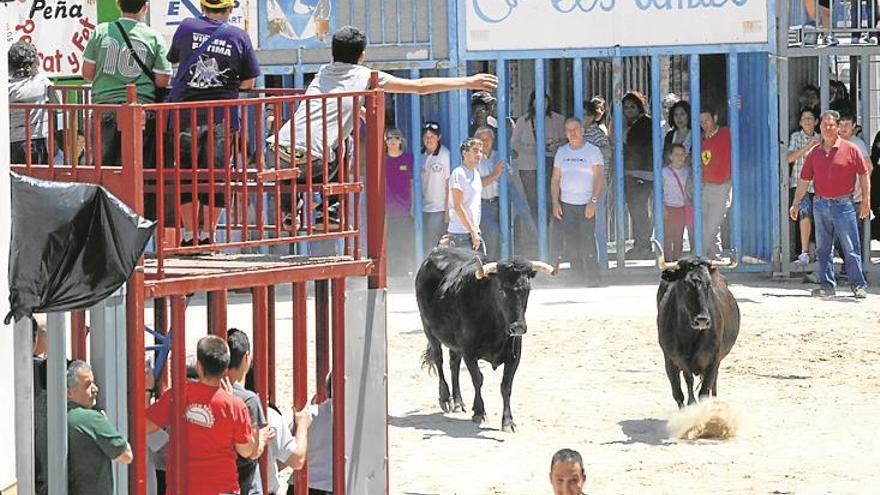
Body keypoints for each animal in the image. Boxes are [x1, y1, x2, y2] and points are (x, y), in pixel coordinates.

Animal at [414, 248, 556, 434]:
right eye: (502, 290)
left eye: (527, 289)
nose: (518, 327)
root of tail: (436, 252)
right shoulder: (469, 352)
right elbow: (478, 379)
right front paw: (479, 412)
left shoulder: (514, 355)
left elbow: (506, 386)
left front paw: (508, 421)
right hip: (429, 329)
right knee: (439, 359)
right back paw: (445, 398)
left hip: (454, 342)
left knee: (454, 365)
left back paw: (458, 402)